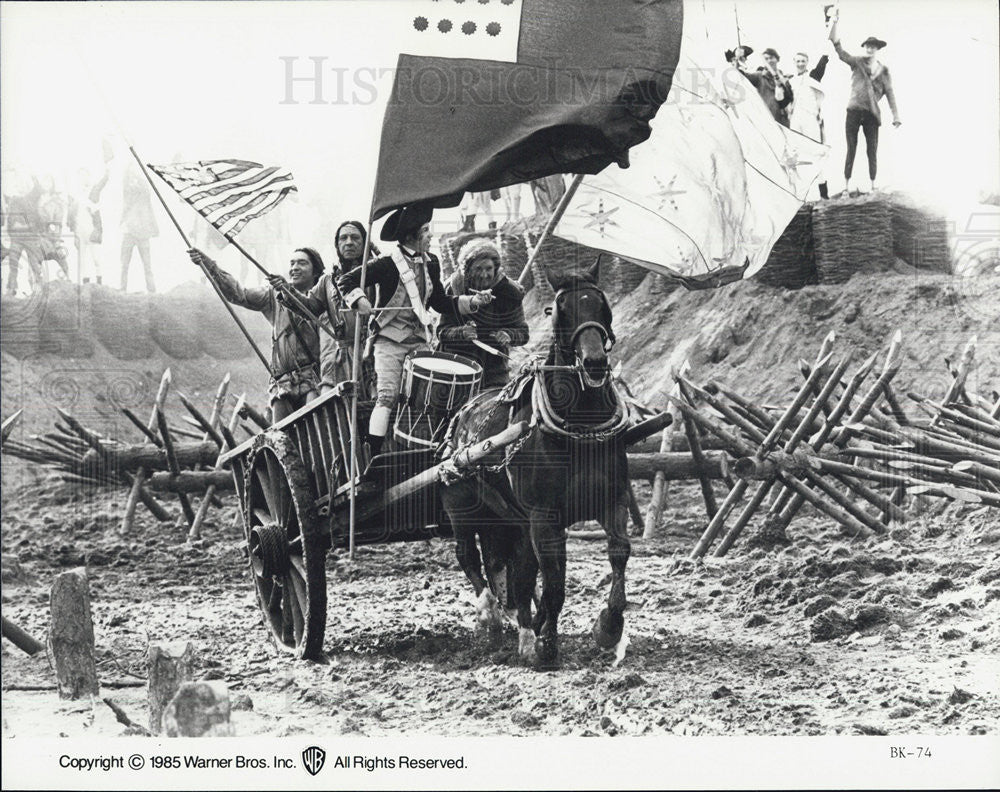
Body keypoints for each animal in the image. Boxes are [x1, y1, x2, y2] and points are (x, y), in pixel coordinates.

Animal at [442, 262, 628, 668]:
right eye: (560, 310)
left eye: (602, 304)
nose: (594, 363)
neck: (581, 430)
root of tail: (463, 412)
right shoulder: (545, 516)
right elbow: (555, 581)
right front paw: (548, 646)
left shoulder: (611, 501)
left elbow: (619, 555)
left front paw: (608, 626)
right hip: (461, 504)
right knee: (468, 556)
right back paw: (491, 616)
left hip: (510, 517)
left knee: (514, 569)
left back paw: (523, 626)